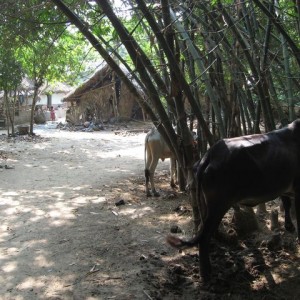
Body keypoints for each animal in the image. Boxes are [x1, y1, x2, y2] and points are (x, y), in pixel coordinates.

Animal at [166, 119, 300, 282]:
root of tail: (210, 155)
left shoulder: (285, 187)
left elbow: (286, 203)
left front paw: (289, 226)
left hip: (206, 205)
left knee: (206, 233)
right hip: (218, 206)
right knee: (204, 237)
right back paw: (206, 274)